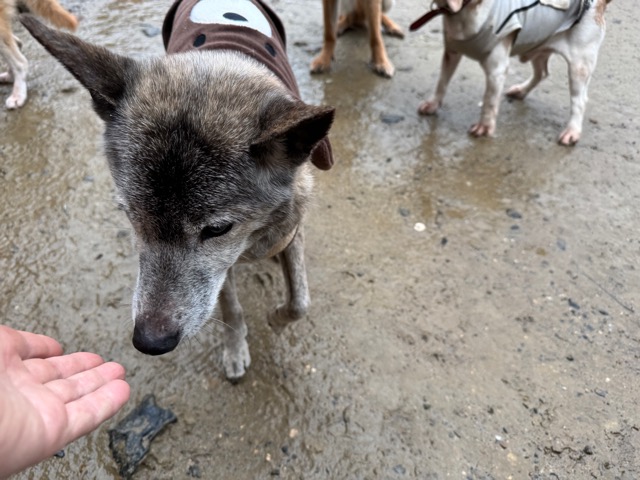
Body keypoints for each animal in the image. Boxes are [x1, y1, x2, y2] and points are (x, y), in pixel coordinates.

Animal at [20, 0, 335, 381]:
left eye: (218, 229)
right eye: (131, 216)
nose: (150, 341)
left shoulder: (288, 229)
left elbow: (300, 302)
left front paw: (276, 318)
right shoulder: (221, 272)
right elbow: (231, 308)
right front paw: (235, 348)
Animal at [413, 0, 611, 145]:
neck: (465, 11)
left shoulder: (496, 69)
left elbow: (489, 101)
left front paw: (485, 127)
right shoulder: (451, 52)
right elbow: (442, 82)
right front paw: (433, 104)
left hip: (579, 66)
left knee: (579, 101)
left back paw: (572, 131)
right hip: (538, 46)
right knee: (542, 73)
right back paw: (521, 91)